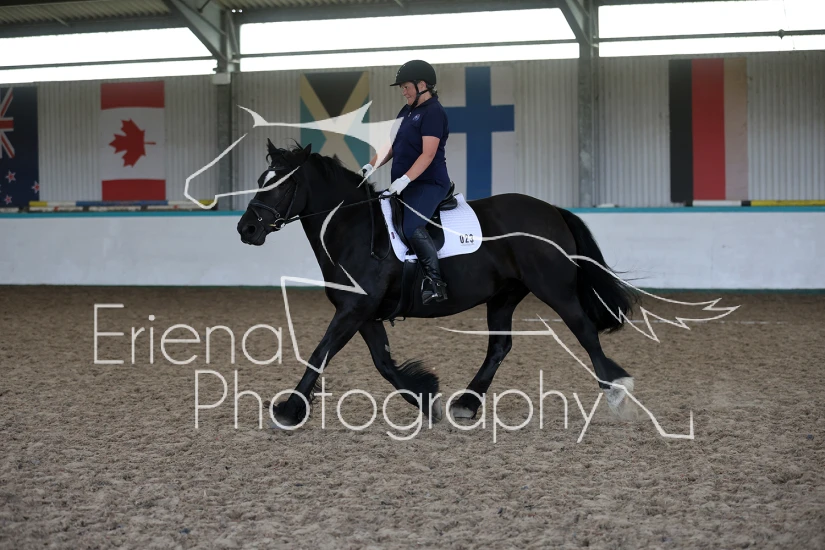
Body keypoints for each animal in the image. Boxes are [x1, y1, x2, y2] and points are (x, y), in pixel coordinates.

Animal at [237, 139, 638, 427]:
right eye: (260, 181)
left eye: (282, 184)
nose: (247, 229)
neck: (354, 228)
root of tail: (552, 210)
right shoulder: (363, 314)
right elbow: (382, 362)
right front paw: (425, 397)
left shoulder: (355, 309)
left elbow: (320, 354)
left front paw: (288, 410)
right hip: (503, 296)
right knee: (499, 347)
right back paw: (466, 404)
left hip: (555, 290)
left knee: (585, 331)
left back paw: (616, 393)